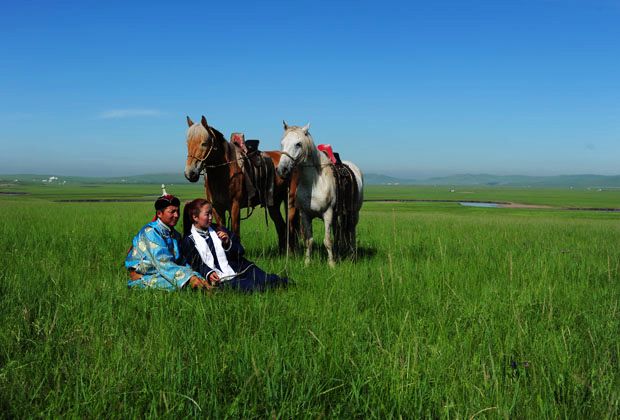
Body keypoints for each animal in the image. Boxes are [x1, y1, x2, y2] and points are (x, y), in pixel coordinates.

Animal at [183, 115, 296, 253]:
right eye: (187, 143)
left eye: (204, 143)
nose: (190, 173)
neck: (224, 172)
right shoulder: (216, 208)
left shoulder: (235, 206)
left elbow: (235, 232)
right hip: (273, 204)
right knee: (281, 226)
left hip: (290, 201)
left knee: (290, 226)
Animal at [276, 121, 364, 266]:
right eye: (282, 143)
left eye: (298, 144)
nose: (281, 170)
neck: (313, 184)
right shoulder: (305, 215)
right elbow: (309, 241)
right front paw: (307, 263)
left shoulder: (327, 214)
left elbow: (327, 241)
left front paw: (331, 264)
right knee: (339, 232)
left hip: (354, 213)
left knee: (351, 231)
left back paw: (352, 255)